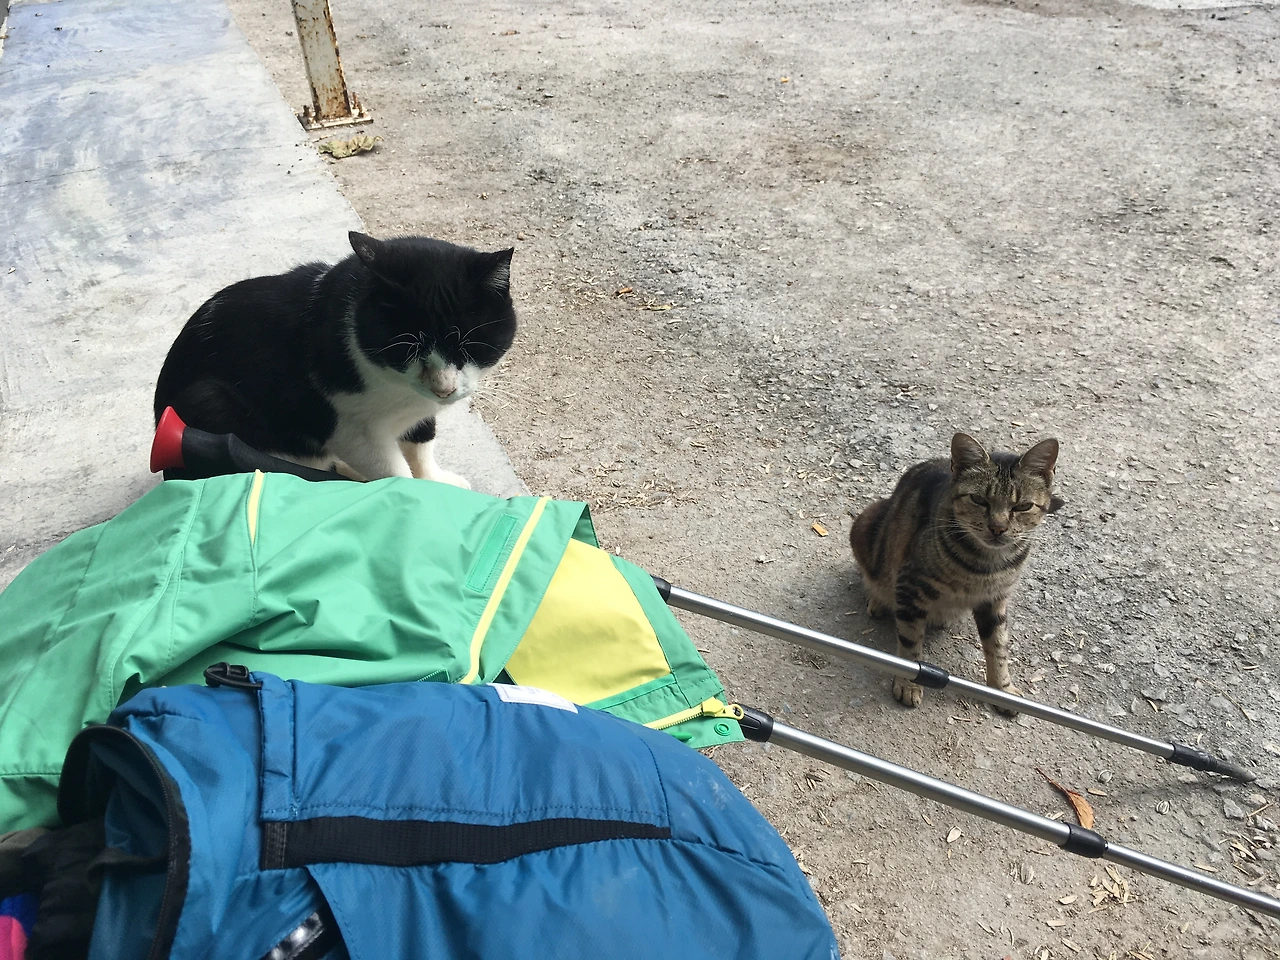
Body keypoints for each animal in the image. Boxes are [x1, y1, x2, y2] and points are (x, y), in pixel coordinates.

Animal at [154, 232, 516, 487]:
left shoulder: (420, 411)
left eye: (471, 347)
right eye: (407, 349)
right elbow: (394, 472)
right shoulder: (351, 428)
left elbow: (422, 441)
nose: (444, 389)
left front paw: (435, 480)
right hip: (206, 401)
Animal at [849, 433, 1063, 713]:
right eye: (979, 500)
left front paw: (1003, 690)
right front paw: (908, 684)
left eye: (1022, 506)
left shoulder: (995, 600)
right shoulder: (910, 583)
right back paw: (879, 601)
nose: (998, 528)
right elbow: (910, 642)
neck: (987, 564)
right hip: (866, 525)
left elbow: (998, 647)